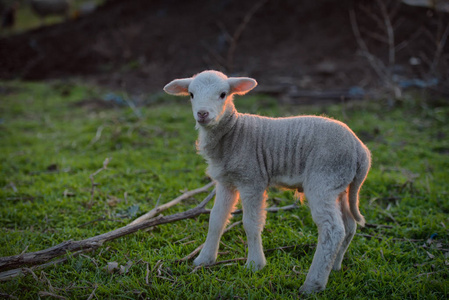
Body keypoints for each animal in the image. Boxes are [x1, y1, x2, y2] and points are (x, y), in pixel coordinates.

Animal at [163, 70, 370, 292]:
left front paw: (255, 264)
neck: (234, 133)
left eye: (223, 94)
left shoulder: (252, 180)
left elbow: (251, 223)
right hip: (341, 185)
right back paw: (336, 267)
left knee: (333, 230)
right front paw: (204, 259)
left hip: (324, 179)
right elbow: (216, 219)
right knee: (349, 226)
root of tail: (360, 149)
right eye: (191, 94)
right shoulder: (226, 182)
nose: (202, 114)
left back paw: (313, 284)